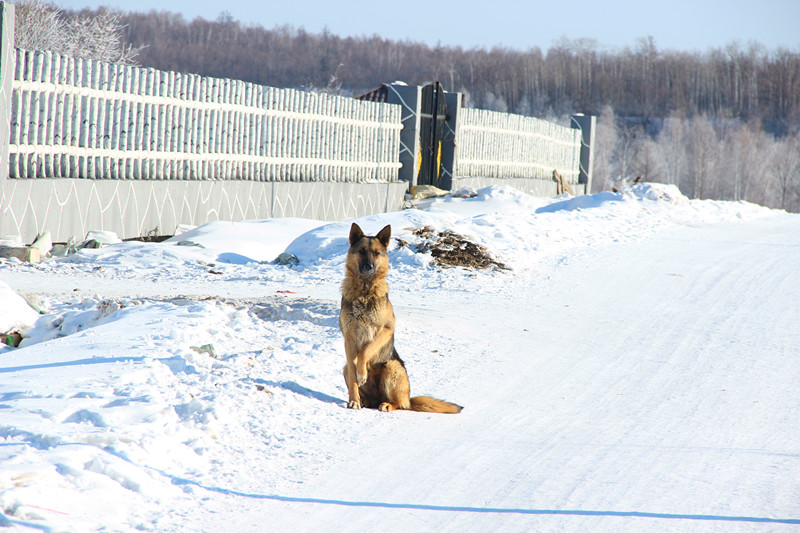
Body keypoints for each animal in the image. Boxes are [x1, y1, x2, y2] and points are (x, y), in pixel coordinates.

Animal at [340, 222, 462, 414]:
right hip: (345, 367)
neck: (365, 292)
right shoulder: (349, 338)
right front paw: (354, 400)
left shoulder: (386, 329)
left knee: (399, 404)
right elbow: (354, 374)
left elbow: (366, 351)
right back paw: (364, 400)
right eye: (361, 251)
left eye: (377, 253)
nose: (369, 267)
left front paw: (362, 372)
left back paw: (387, 404)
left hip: (393, 367)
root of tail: (409, 399)